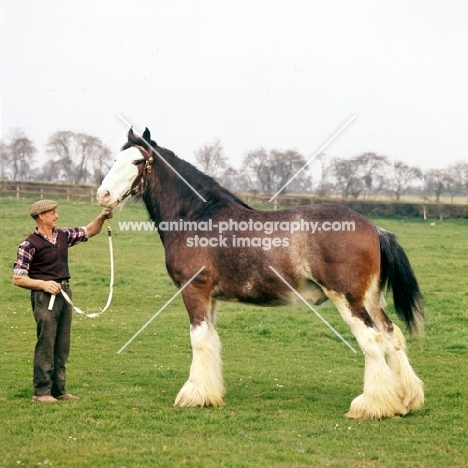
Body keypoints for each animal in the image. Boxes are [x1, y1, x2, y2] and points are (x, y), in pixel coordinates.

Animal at [97, 128, 426, 420]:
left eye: (137, 162)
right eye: (115, 159)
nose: (103, 194)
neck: (197, 217)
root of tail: (374, 228)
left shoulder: (194, 290)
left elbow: (199, 340)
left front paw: (193, 395)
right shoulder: (211, 298)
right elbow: (212, 341)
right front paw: (210, 393)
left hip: (348, 300)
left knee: (372, 341)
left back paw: (371, 406)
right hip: (371, 300)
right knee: (392, 335)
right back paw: (405, 399)